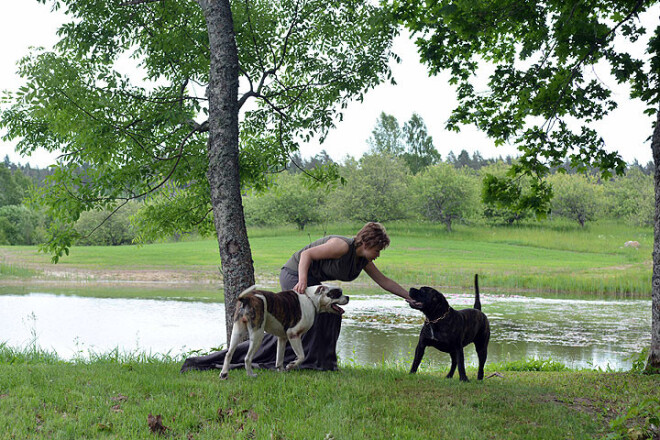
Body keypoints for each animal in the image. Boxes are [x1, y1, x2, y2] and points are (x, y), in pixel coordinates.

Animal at [220, 284, 350, 380]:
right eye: (338, 293)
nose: (348, 297)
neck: (311, 299)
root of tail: (246, 298)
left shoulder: (282, 338)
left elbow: (280, 357)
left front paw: (281, 370)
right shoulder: (294, 335)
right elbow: (301, 356)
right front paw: (291, 365)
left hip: (237, 332)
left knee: (228, 354)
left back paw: (224, 374)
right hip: (257, 335)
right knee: (247, 358)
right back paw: (251, 375)